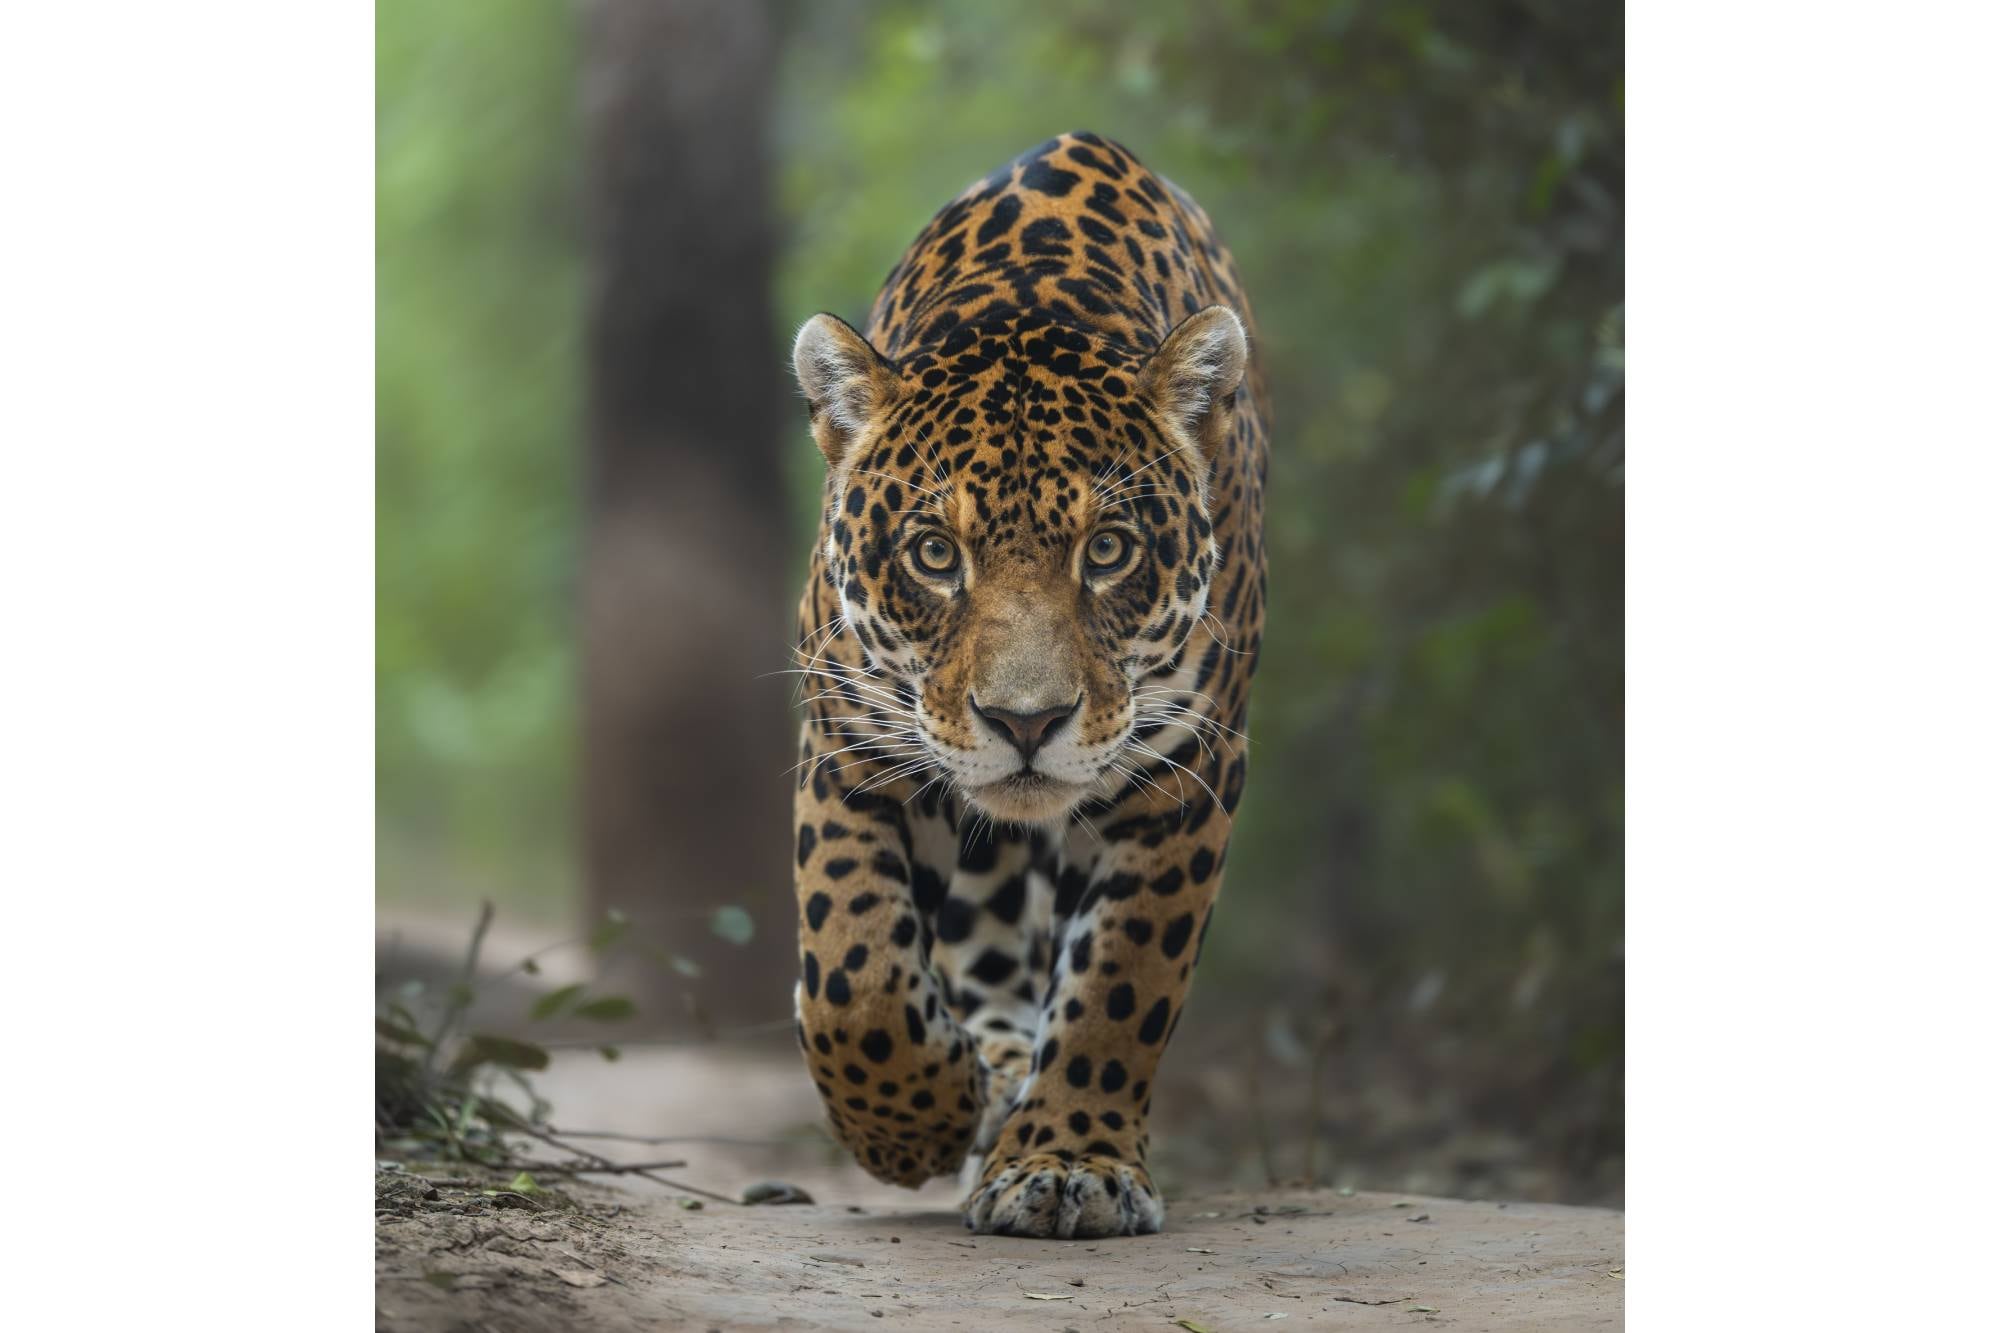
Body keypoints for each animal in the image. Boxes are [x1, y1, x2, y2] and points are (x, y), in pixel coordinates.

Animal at [786, 131, 1266, 1239]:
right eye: (932, 554)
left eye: (1108, 550)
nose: (1026, 722)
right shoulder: (850, 742)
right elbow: (852, 968)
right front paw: (914, 1121)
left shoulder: (1186, 769)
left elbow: (1122, 982)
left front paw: (1068, 1160)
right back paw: (990, 1083)